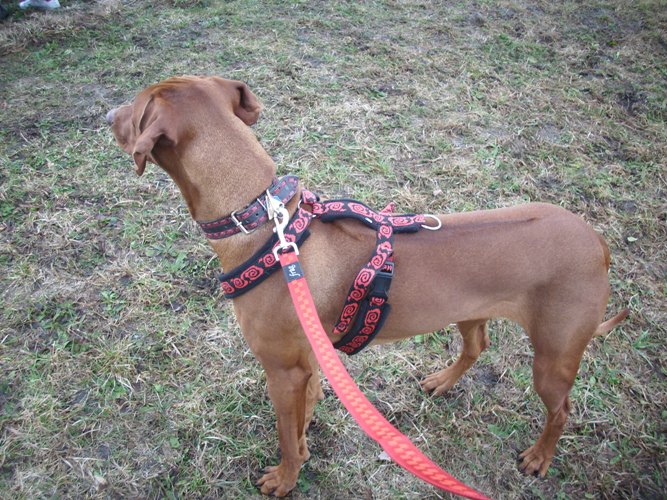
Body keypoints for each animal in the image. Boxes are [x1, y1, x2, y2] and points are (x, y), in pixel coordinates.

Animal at [107, 76, 628, 496]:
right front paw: (305, 441)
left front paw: (285, 478)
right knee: (476, 345)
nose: (108, 114)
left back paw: (540, 457)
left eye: (137, 107)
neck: (265, 224)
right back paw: (443, 381)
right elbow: (305, 416)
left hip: (554, 356)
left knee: (561, 410)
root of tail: (597, 242)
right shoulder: (309, 362)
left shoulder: (282, 371)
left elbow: (286, 437)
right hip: (469, 312)